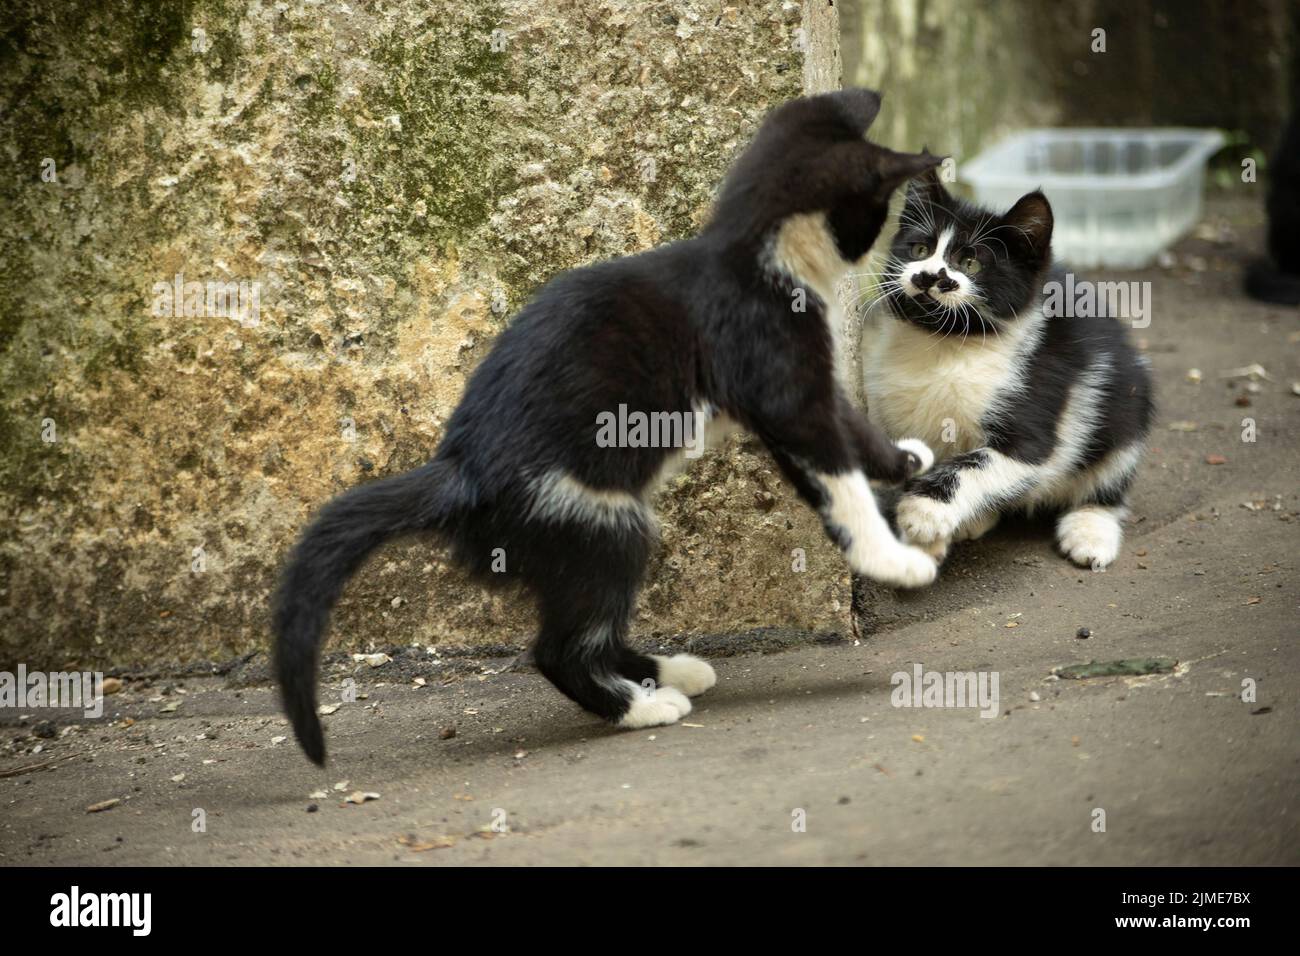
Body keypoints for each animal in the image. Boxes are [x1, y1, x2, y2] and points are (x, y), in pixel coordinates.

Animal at [276, 87, 946, 764]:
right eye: (878, 217)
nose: (874, 258)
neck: (757, 258)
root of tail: (460, 471)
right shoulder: (778, 381)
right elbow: (836, 475)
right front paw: (892, 560)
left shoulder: (808, 384)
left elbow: (851, 427)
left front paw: (906, 460)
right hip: (595, 518)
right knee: (559, 648)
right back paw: (641, 706)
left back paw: (668, 671)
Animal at [863, 167, 1159, 567]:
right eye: (919, 250)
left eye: (970, 263)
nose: (927, 276)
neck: (946, 345)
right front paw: (925, 544)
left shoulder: (1036, 417)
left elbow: (979, 464)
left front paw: (925, 511)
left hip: (1126, 406)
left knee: (1110, 478)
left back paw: (1091, 530)